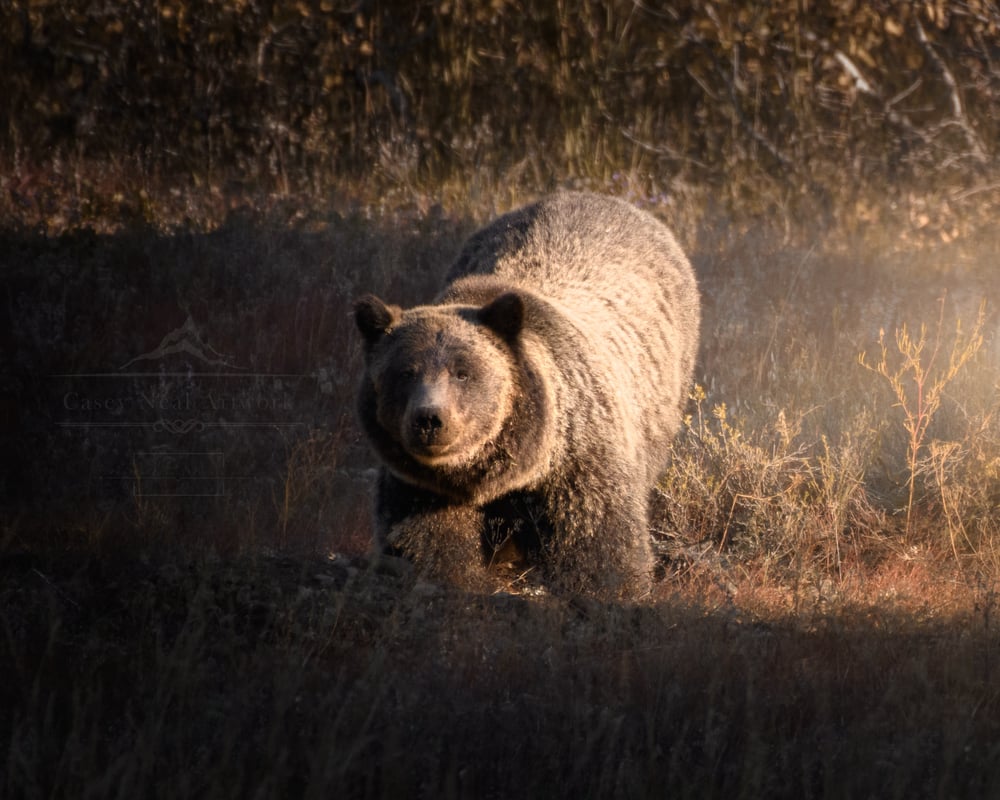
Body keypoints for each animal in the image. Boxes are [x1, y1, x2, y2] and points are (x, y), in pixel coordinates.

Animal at [354, 191, 700, 597]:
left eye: (463, 372)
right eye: (405, 372)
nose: (429, 419)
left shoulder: (578, 457)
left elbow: (597, 537)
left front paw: (609, 585)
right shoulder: (419, 485)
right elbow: (424, 541)